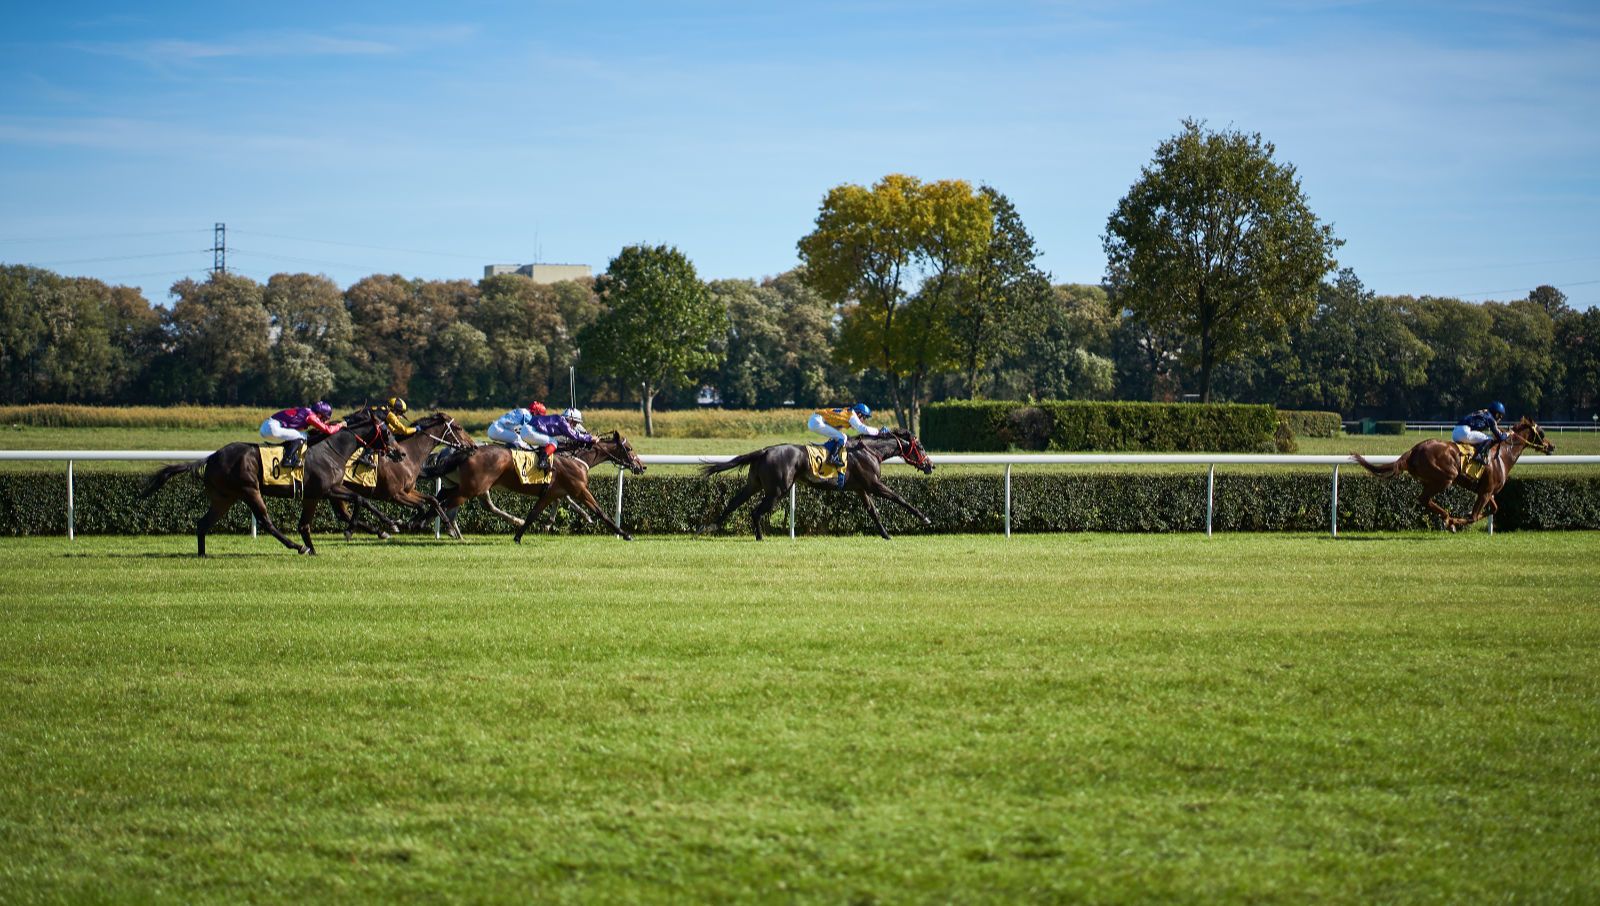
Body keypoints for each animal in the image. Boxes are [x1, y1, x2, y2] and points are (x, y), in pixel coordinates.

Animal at [140, 409, 403, 553]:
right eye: (387, 432)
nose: (400, 453)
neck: (331, 449)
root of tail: (212, 457)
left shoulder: (321, 491)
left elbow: (357, 503)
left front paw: (389, 525)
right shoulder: (326, 489)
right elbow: (358, 499)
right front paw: (350, 532)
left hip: (225, 497)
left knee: (203, 523)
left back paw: (202, 555)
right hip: (249, 489)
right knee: (265, 521)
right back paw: (297, 547)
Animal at [326, 416, 470, 544]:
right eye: (459, 427)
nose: (472, 445)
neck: (408, 456)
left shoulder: (407, 491)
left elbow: (432, 500)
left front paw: (449, 528)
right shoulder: (395, 495)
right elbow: (421, 505)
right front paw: (409, 523)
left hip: (336, 491)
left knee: (344, 514)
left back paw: (380, 531)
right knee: (348, 511)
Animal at [704, 428, 934, 544]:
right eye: (921, 447)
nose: (931, 465)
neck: (869, 451)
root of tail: (765, 450)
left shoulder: (861, 488)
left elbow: (873, 511)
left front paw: (885, 534)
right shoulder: (873, 484)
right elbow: (899, 498)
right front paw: (925, 518)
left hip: (755, 484)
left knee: (733, 503)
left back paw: (707, 527)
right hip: (778, 490)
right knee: (755, 510)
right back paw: (759, 537)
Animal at [1350, 419, 1548, 531]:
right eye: (1542, 432)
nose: (1551, 446)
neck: (1502, 455)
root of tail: (1414, 450)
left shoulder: (1487, 491)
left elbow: (1493, 509)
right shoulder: (1485, 492)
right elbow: (1473, 516)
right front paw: (1455, 521)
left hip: (1430, 480)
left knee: (1425, 500)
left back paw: (1447, 518)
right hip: (1445, 477)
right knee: (1424, 499)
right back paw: (1448, 519)